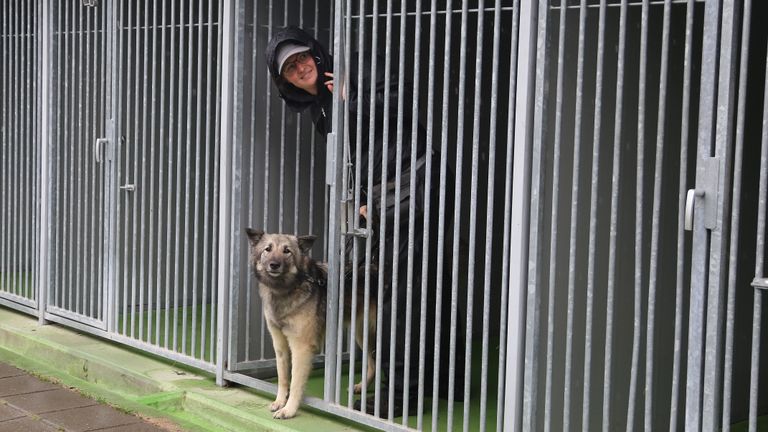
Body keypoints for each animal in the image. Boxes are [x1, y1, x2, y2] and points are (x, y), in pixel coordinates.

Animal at [246, 228, 378, 420]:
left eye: (287, 251)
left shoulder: (302, 348)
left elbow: (295, 383)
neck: (287, 288)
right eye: (267, 249)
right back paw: (361, 387)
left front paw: (289, 410)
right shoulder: (280, 345)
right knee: (373, 363)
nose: (274, 264)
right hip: (362, 334)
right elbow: (283, 377)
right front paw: (279, 401)